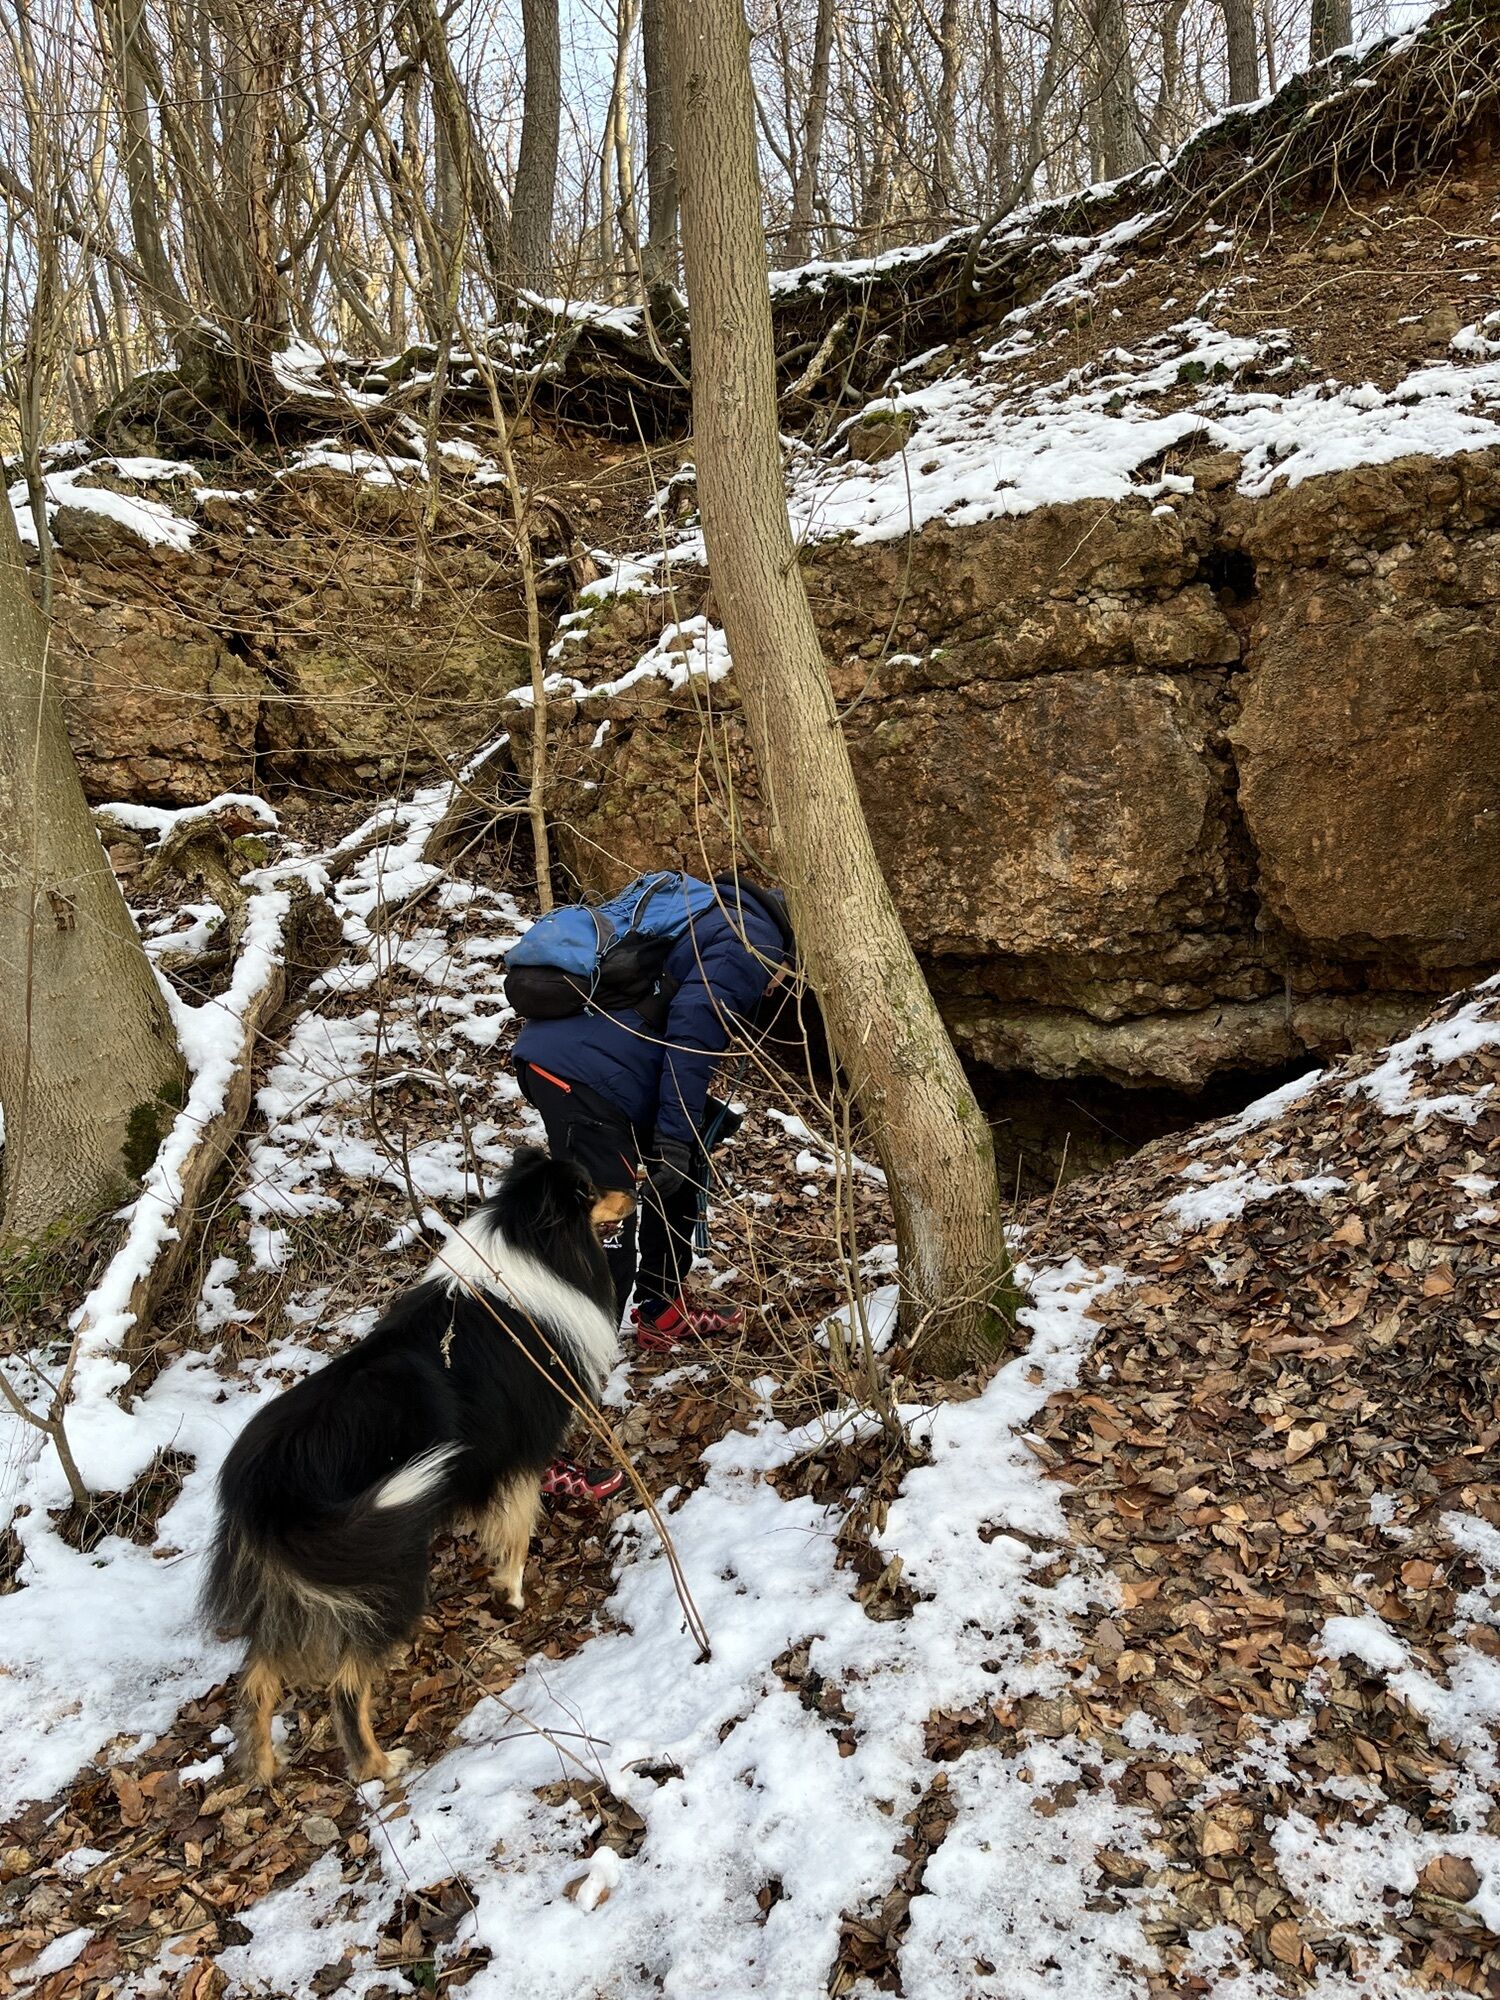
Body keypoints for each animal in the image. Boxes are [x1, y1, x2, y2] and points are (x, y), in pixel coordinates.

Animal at [202, 1149, 634, 1784]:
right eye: (586, 1191)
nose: (637, 1188)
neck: (526, 1247)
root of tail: (262, 1491)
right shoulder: (519, 1456)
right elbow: (517, 1528)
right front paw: (512, 1592)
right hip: (386, 1570)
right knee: (345, 1685)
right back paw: (380, 1766)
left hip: (297, 1588)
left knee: (257, 1679)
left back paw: (261, 1768)